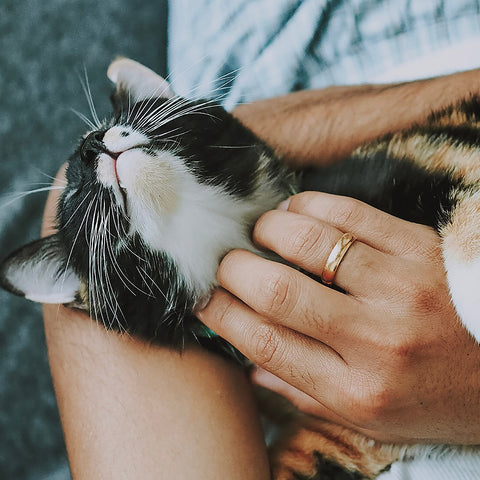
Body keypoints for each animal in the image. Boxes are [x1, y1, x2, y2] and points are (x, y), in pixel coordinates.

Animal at [0, 58, 480, 478]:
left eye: (129, 115)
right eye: (72, 195)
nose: (90, 146)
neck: (238, 237)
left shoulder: (437, 144)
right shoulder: (350, 428)